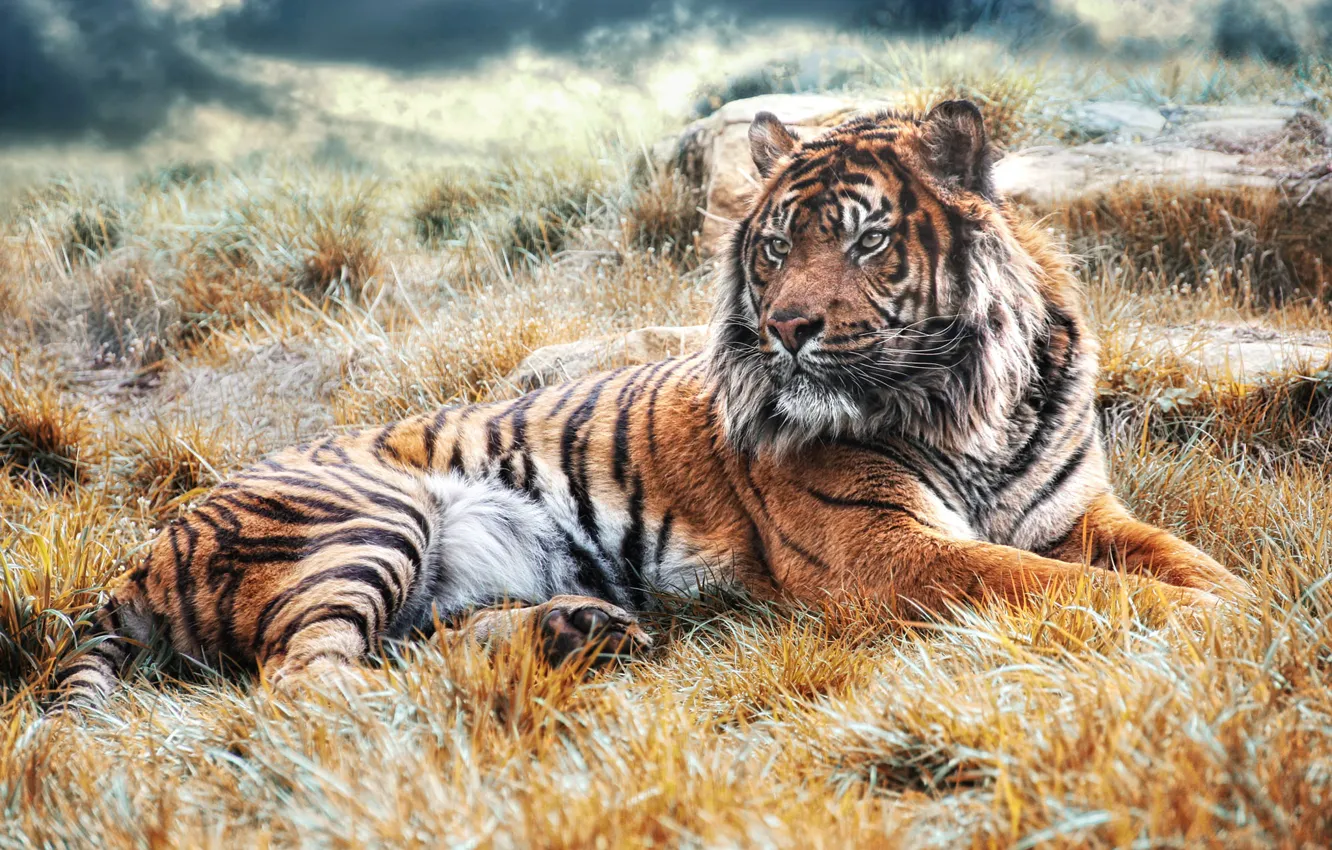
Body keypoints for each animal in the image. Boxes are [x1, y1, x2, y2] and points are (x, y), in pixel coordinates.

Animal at [52, 100, 1252, 712]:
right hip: (366, 515)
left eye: (865, 240)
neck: (974, 403)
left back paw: (576, 629)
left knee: (400, 653)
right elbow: (1050, 588)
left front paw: (1254, 608)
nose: (789, 329)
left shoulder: (1080, 512)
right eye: (776, 247)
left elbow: (1185, 561)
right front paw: (1207, 630)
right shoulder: (885, 548)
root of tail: (144, 549)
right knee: (308, 685)